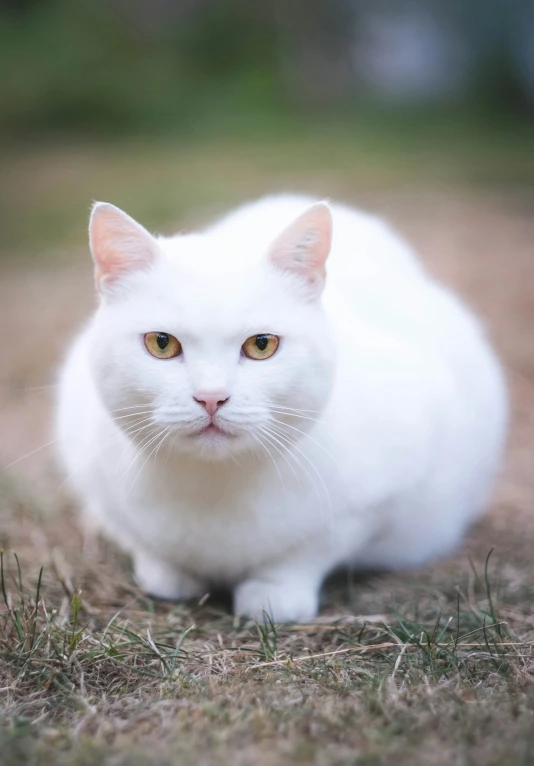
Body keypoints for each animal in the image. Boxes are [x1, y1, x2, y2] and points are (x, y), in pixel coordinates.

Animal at [55, 194, 510, 624]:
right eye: (161, 343)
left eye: (262, 345)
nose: (211, 397)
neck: (214, 487)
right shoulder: (95, 477)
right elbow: (142, 543)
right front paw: (167, 574)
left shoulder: (373, 501)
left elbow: (307, 552)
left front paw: (274, 594)